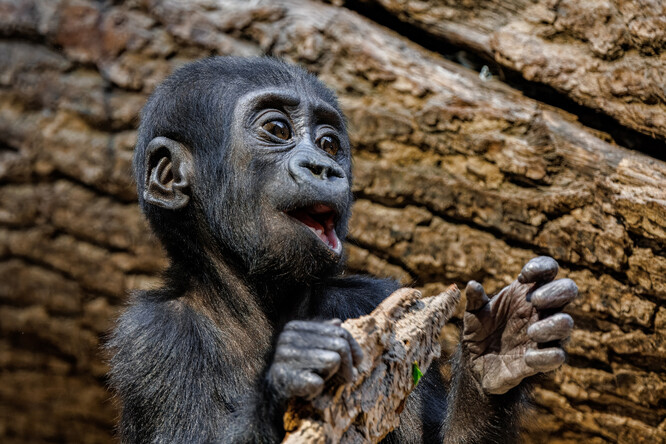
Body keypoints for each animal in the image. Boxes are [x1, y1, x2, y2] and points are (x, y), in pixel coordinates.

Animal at [109, 57, 576, 442]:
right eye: (277, 130)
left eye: (329, 143)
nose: (324, 167)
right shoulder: (149, 341)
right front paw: (294, 368)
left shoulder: (378, 298)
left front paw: (501, 347)